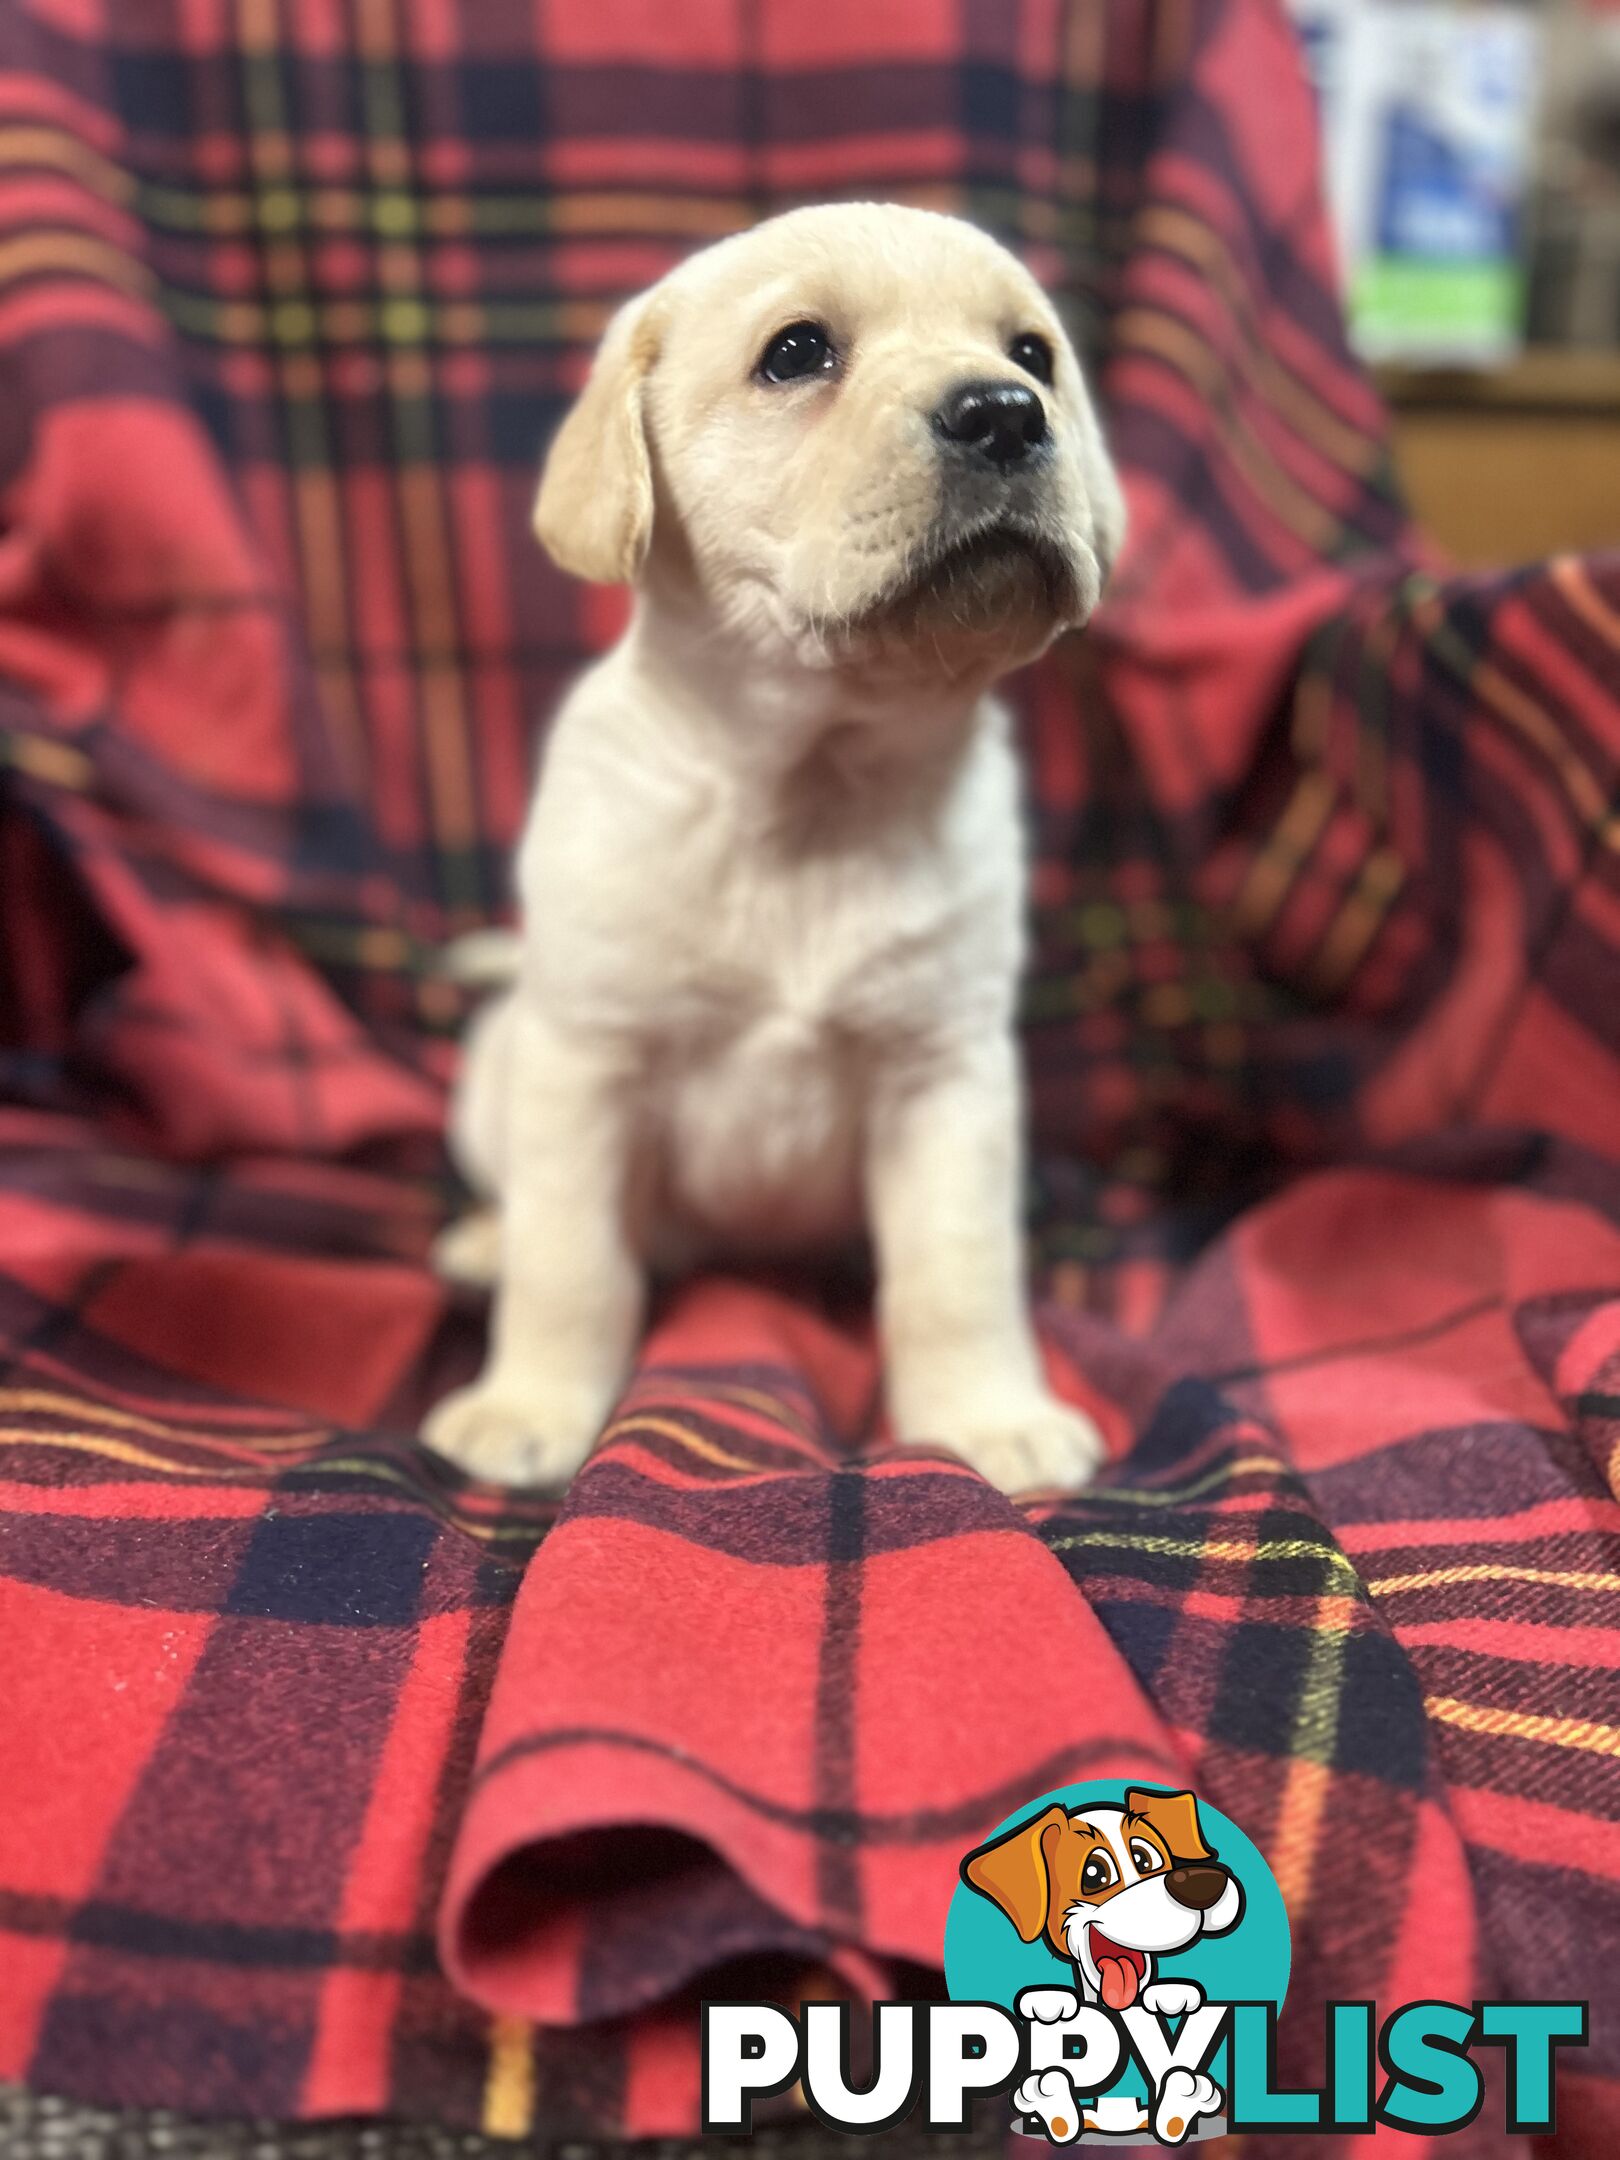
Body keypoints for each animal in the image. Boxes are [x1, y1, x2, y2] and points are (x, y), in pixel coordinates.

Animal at [425, 203, 1123, 1494]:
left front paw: (987, 1417)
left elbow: (957, 1273)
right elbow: (573, 1264)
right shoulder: (586, 1062)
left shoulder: (945, 1072)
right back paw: (484, 1241)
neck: (812, 787)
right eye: (797, 354)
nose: (1005, 412)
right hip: (500, 1065)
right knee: (527, 1213)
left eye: (1034, 355)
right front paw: (530, 1405)